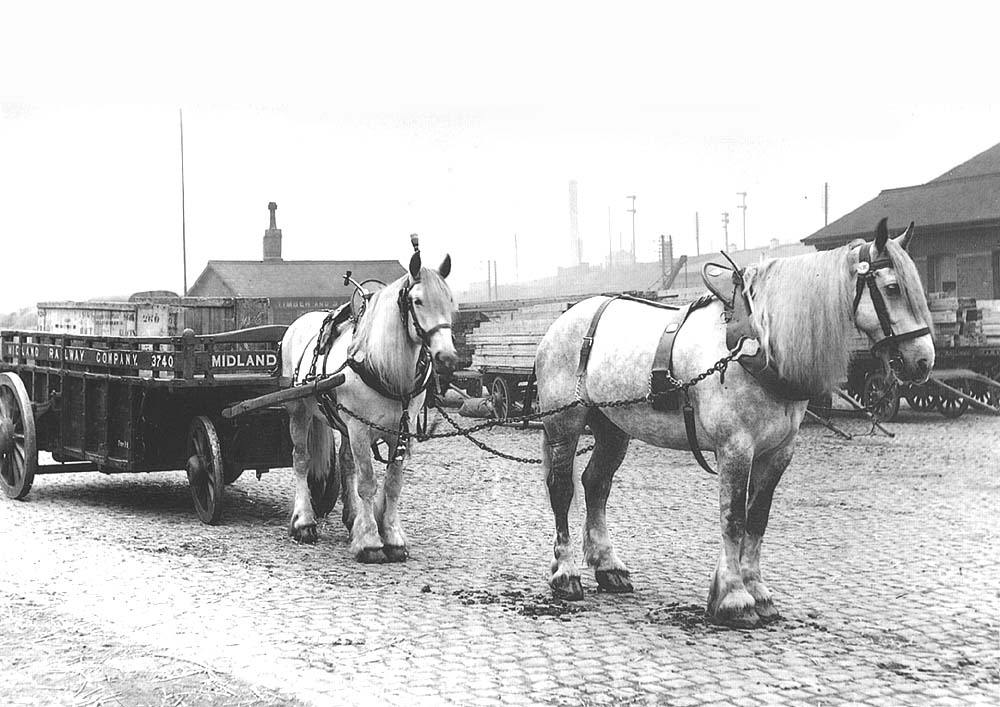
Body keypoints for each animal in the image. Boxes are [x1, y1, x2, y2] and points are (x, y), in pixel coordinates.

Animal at [279, 241, 458, 562]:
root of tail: (298, 323)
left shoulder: (400, 430)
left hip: (342, 422)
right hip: (299, 410)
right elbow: (367, 482)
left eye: (450, 299)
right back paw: (304, 522)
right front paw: (371, 542)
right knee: (301, 460)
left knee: (345, 462)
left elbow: (393, 483)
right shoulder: (360, 429)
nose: (446, 356)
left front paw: (392, 536)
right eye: (417, 301)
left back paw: (353, 518)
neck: (381, 366)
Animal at [534, 218, 935, 627]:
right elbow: (733, 518)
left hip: (613, 429)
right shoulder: (735, 447)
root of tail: (565, 320)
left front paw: (757, 591)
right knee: (563, 489)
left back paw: (608, 566)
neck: (755, 344)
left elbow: (757, 519)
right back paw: (566, 573)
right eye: (892, 287)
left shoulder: (777, 453)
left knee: (596, 484)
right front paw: (734, 597)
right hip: (565, 424)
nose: (923, 360)